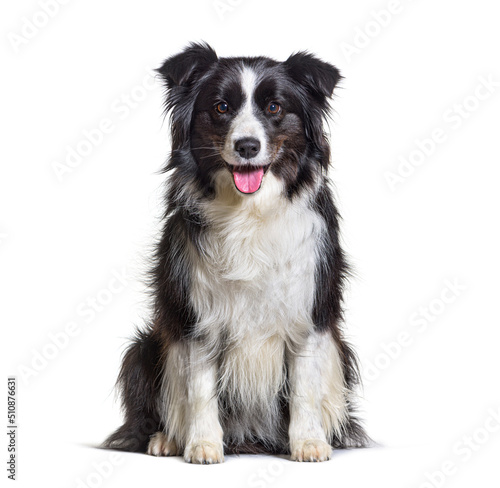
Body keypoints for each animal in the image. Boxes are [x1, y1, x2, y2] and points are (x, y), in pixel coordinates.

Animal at [105, 42, 370, 462]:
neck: (250, 213)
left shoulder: (307, 311)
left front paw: (309, 443)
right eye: (221, 107)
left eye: (275, 107)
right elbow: (198, 387)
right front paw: (202, 444)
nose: (247, 146)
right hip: (142, 348)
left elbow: (305, 387)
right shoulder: (196, 313)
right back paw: (166, 439)